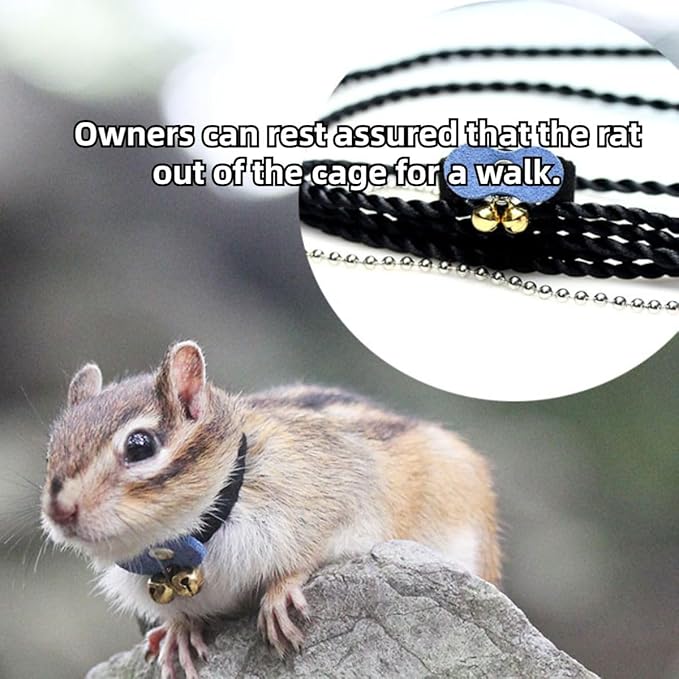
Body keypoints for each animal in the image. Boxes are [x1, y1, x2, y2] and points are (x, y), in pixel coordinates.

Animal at [41, 341, 501, 679]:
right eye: (52, 449)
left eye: (140, 445)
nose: (60, 511)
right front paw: (178, 631)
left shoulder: (350, 497)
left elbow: (313, 551)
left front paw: (280, 593)